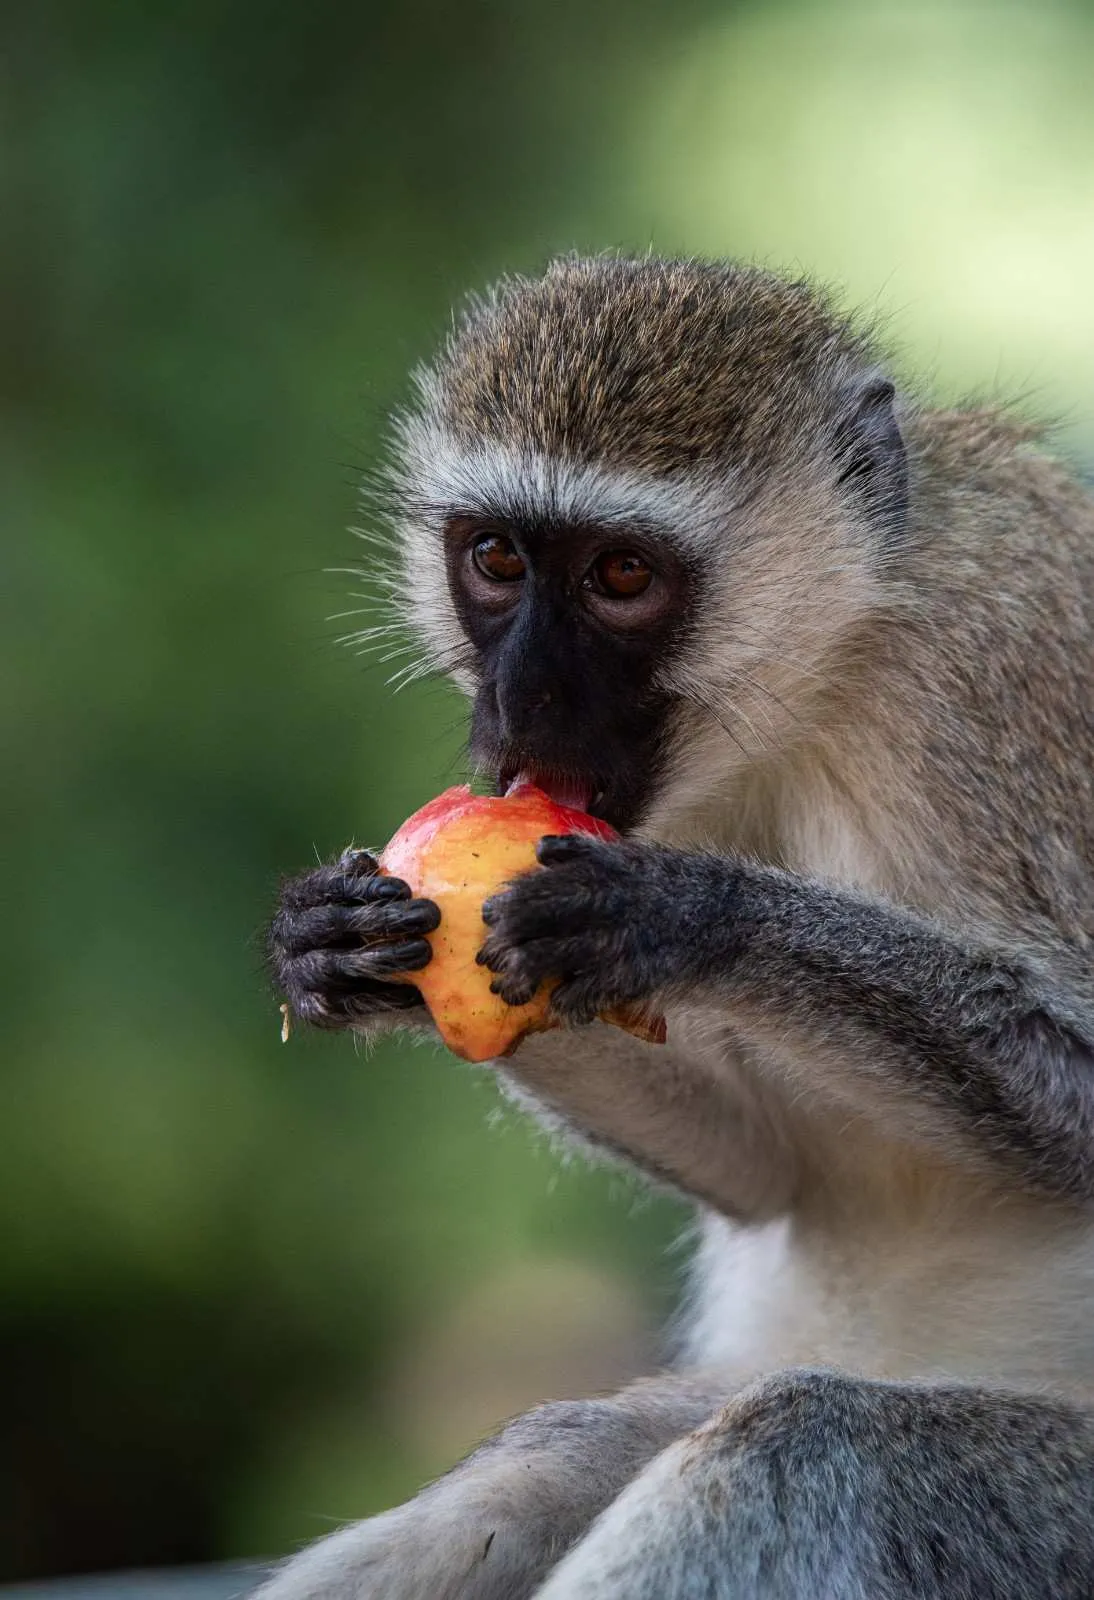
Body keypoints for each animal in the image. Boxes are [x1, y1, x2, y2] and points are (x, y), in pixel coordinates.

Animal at [260, 254, 1094, 1599]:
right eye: (494, 558)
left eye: (620, 576)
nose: (519, 701)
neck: (833, 666)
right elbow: (766, 1166)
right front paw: (328, 942)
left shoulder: (997, 685)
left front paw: (687, 914)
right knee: (550, 1458)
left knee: (800, 1445)